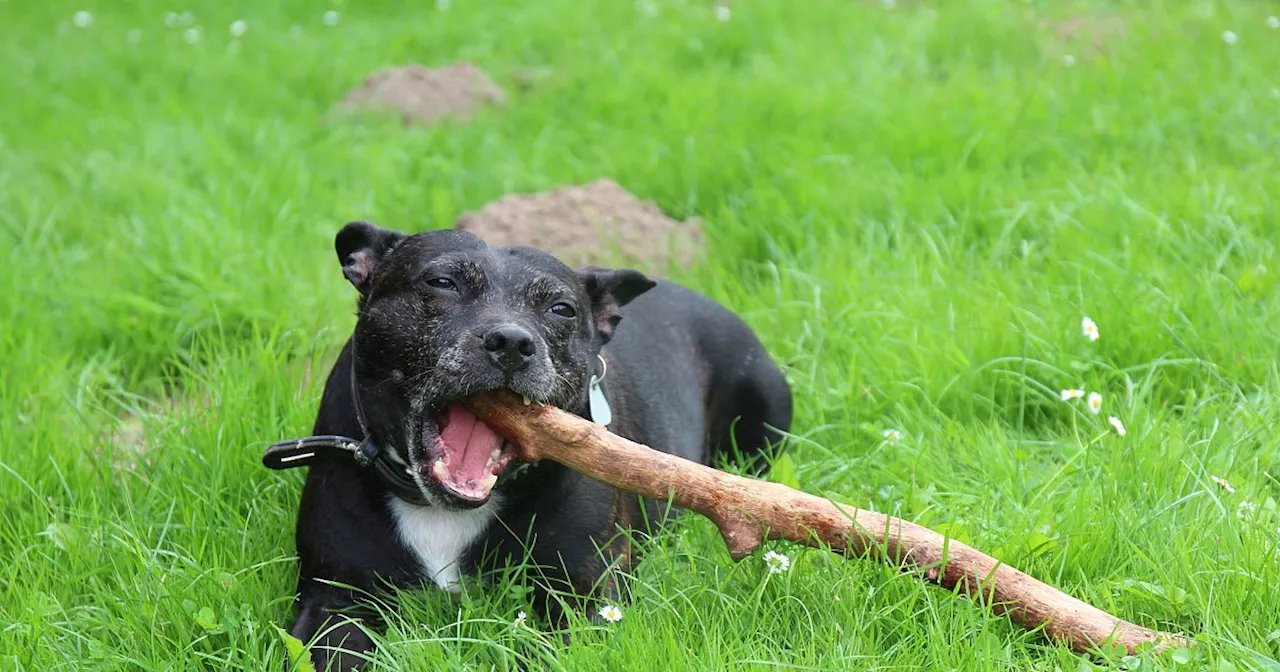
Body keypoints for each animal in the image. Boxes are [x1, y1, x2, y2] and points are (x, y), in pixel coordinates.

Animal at [268, 222, 788, 665]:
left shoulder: (582, 595)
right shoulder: (335, 597)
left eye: (562, 309)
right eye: (441, 282)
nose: (512, 342)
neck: (442, 510)